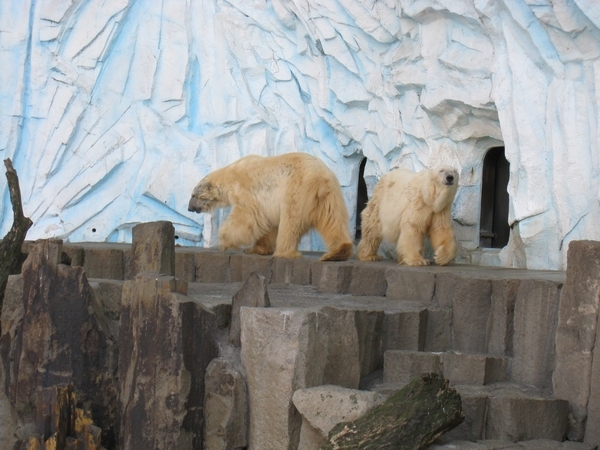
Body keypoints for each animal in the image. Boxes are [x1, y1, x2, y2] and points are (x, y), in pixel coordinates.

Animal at [190, 154, 354, 262]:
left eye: (193, 195)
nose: (189, 208)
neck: (229, 174)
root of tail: (320, 178)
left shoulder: (244, 190)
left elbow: (248, 218)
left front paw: (224, 242)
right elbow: (266, 224)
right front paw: (255, 249)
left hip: (296, 190)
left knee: (290, 222)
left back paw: (284, 252)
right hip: (330, 195)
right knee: (332, 219)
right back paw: (338, 252)